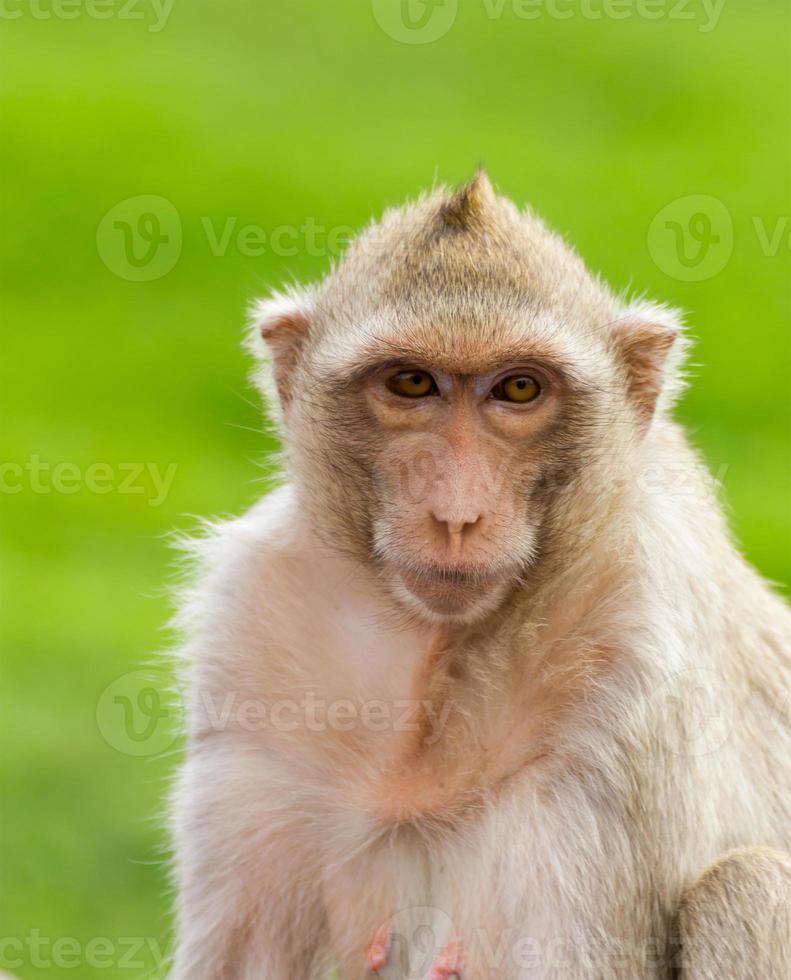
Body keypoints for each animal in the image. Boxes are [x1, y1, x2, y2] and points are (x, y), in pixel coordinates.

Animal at [169, 172, 791, 976]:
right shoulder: (253, 638)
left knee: (747, 884)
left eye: (519, 389)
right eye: (411, 383)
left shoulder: (629, 680)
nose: (457, 514)